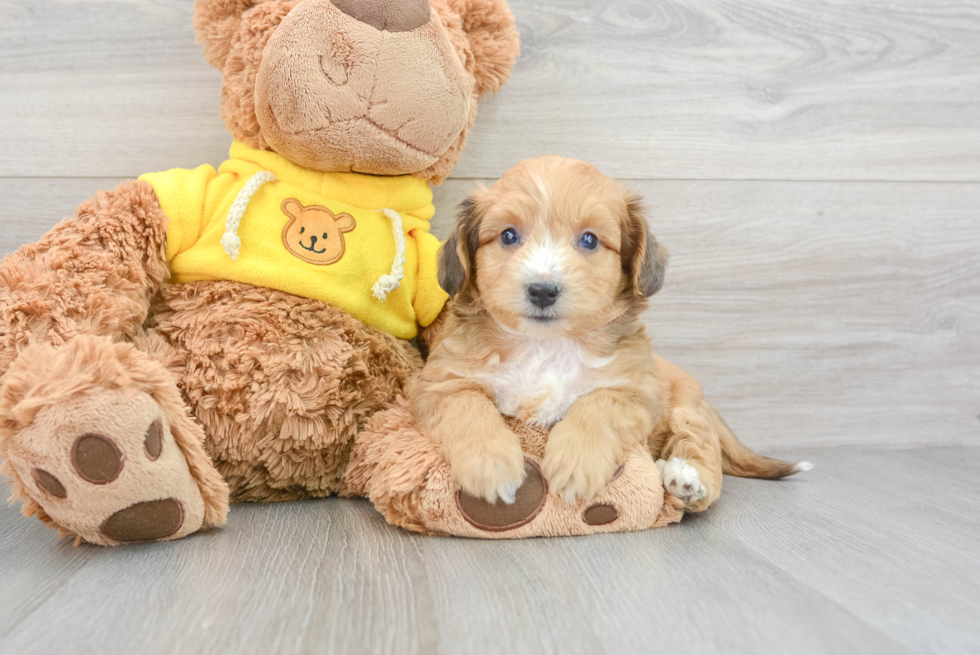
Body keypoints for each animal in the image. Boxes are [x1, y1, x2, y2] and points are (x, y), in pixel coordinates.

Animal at [410, 156, 808, 510]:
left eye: (589, 240)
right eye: (508, 235)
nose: (542, 290)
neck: (546, 347)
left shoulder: (635, 391)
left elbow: (598, 405)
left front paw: (575, 463)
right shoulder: (442, 382)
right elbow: (469, 409)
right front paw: (490, 464)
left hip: (686, 411)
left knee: (702, 450)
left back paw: (686, 481)